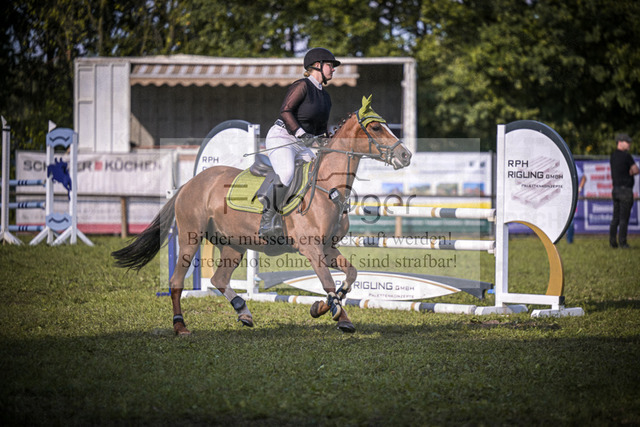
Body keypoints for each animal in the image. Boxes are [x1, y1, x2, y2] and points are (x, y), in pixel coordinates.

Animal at [112, 95, 412, 335]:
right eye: (375, 127)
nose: (406, 155)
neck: (327, 188)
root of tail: (191, 182)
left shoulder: (328, 248)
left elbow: (349, 275)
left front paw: (325, 310)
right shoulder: (312, 249)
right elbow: (327, 282)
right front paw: (333, 313)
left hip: (234, 245)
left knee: (219, 279)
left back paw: (242, 310)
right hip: (190, 238)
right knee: (176, 282)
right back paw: (180, 325)